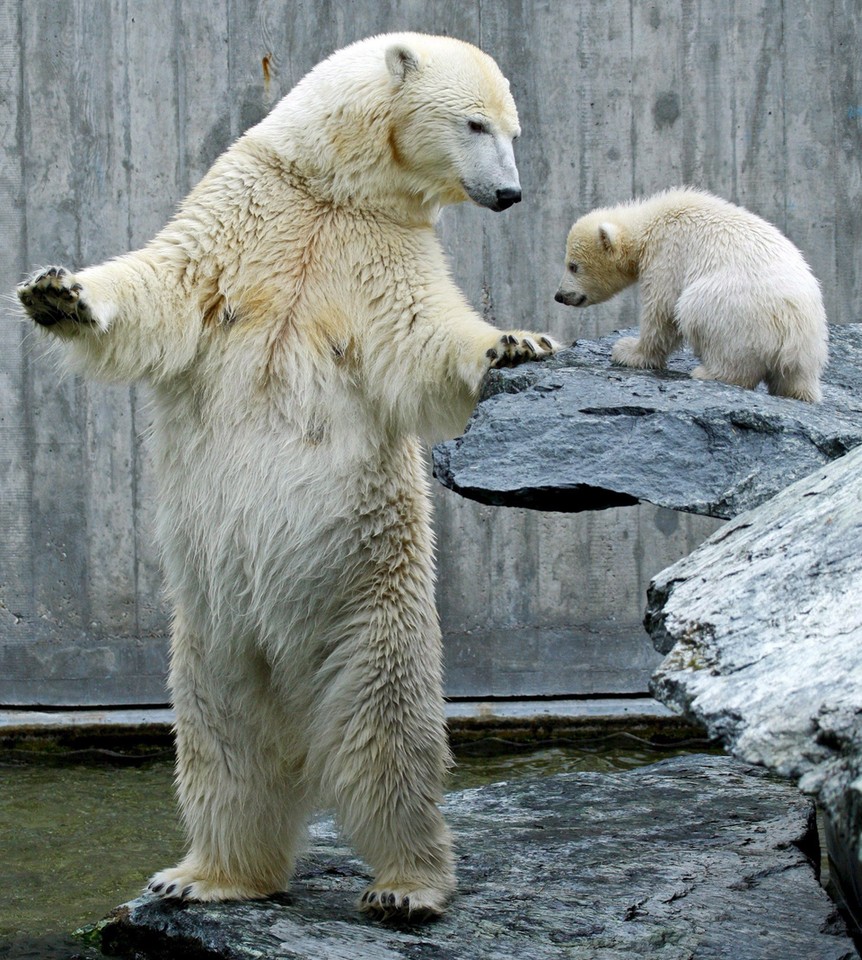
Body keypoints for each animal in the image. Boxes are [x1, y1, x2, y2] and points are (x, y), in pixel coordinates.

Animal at [20, 33, 560, 924]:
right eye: (478, 124)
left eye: (512, 129)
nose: (511, 194)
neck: (331, 186)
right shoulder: (245, 207)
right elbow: (164, 287)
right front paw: (56, 292)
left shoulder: (383, 246)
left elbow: (422, 338)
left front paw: (514, 342)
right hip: (209, 635)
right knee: (225, 748)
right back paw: (207, 873)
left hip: (373, 608)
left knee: (389, 747)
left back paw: (406, 884)